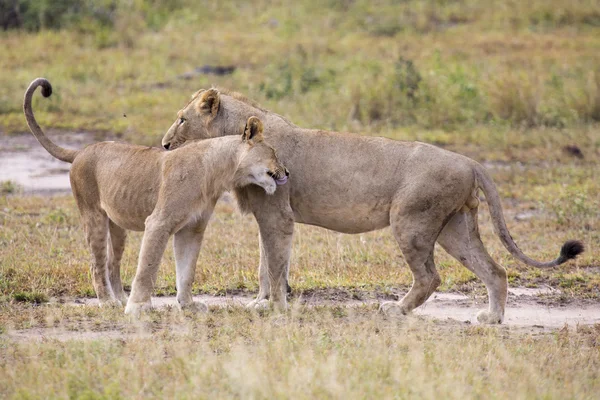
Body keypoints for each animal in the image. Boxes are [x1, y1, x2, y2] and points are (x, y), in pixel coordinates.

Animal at [24, 79, 292, 316]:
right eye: (274, 153)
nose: (287, 172)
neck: (217, 173)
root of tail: (81, 151)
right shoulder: (159, 222)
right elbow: (148, 267)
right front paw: (137, 308)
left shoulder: (192, 228)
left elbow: (186, 270)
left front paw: (187, 305)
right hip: (93, 215)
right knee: (96, 264)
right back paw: (108, 302)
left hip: (117, 225)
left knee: (112, 262)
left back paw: (120, 298)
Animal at [162, 87, 584, 324]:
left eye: (181, 119)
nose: (164, 145)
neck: (236, 141)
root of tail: (470, 161)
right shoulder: (268, 218)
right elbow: (267, 264)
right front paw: (260, 303)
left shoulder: (277, 215)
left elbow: (274, 265)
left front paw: (272, 307)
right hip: (455, 228)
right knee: (495, 270)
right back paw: (491, 318)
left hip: (411, 222)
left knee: (430, 277)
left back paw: (396, 310)